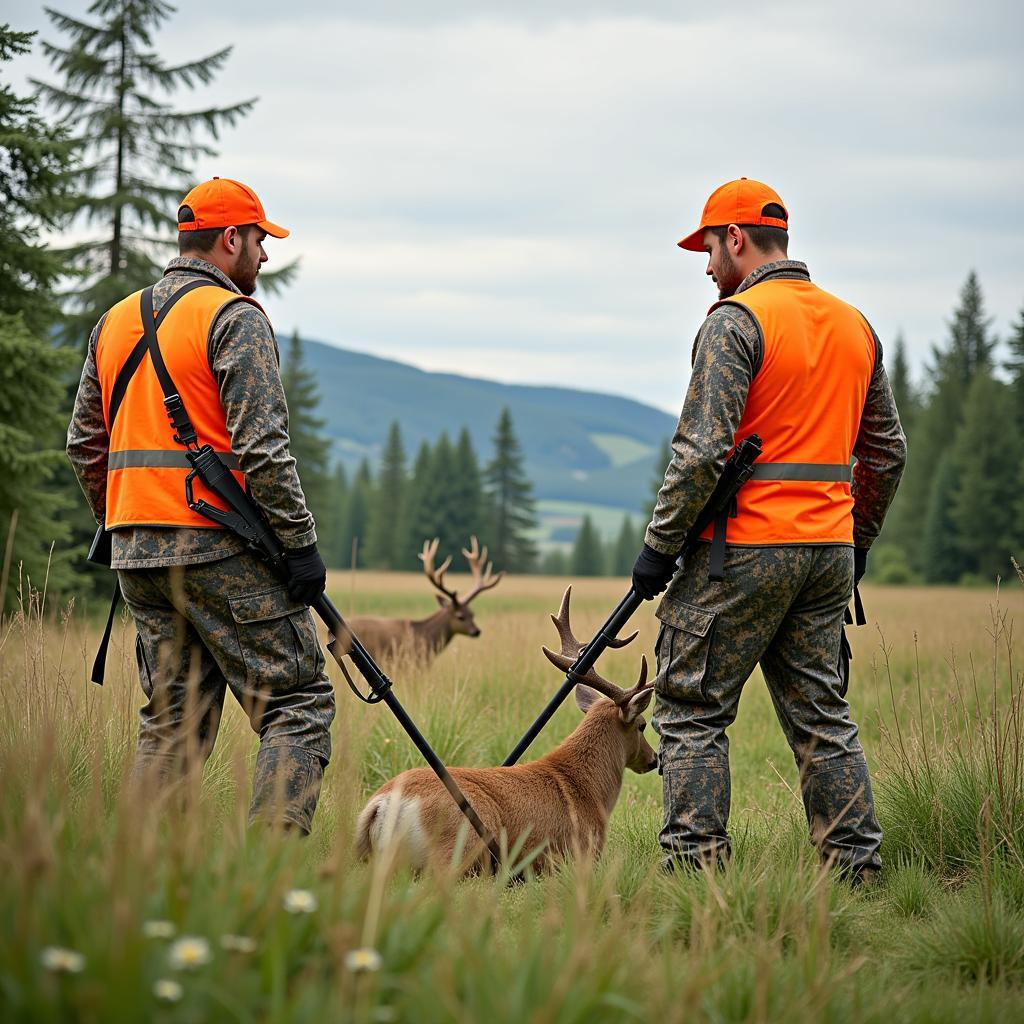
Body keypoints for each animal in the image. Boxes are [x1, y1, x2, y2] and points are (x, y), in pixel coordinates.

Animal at [356, 589, 659, 876]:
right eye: (642, 725)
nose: (653, 759)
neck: (589, 787)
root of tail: (382, 804)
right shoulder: (583, 852)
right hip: (454, 848)